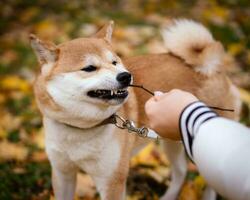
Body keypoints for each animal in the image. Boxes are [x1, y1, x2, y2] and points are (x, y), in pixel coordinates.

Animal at [30, 19, 241, 200]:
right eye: (89, 68)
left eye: (114, 62)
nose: (125, 76)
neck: (82, 129)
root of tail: (210, 66)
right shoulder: (62, 173)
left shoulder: (112, 181)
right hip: (171, 140)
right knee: (181, 172)